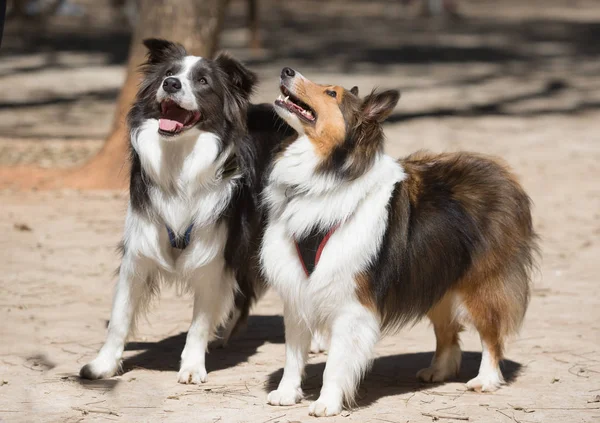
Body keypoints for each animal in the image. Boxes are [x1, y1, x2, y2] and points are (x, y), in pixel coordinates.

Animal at [79, 39, 296, 384]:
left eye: (202, 81)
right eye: (169, 73)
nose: (171, 84)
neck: (179, 159)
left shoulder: (213, 255)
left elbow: (198, 324)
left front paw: (192, 366)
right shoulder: (139, 251)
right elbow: (119, 317)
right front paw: (103, 365)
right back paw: (223, 334)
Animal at [260, 67, 536, 418]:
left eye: (331, 93)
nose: (286, 71)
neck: (326, 178)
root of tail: (502, 172)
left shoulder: (351, 302)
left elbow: (335, 363)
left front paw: (326, 402)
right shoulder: (298, 290)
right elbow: (294, 355)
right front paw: (287, 393)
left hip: (481, 284)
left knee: (490, 333)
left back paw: (485, 379)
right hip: (436, 279)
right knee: (448, 331)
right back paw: (439, 370)